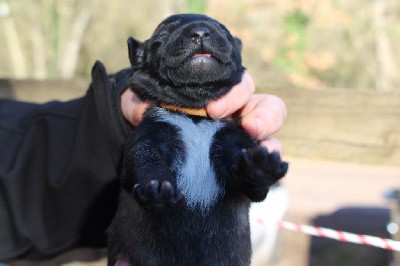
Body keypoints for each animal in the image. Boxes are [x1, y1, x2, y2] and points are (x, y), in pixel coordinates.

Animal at [106, 14, 288, 266]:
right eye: (163, 35)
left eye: (224, 32)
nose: (200, 31)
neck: (195, 115)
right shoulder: (148, 138)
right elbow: (145, 158)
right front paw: (157, 187)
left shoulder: (232, 139)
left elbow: (252, 180)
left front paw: (259, 167)